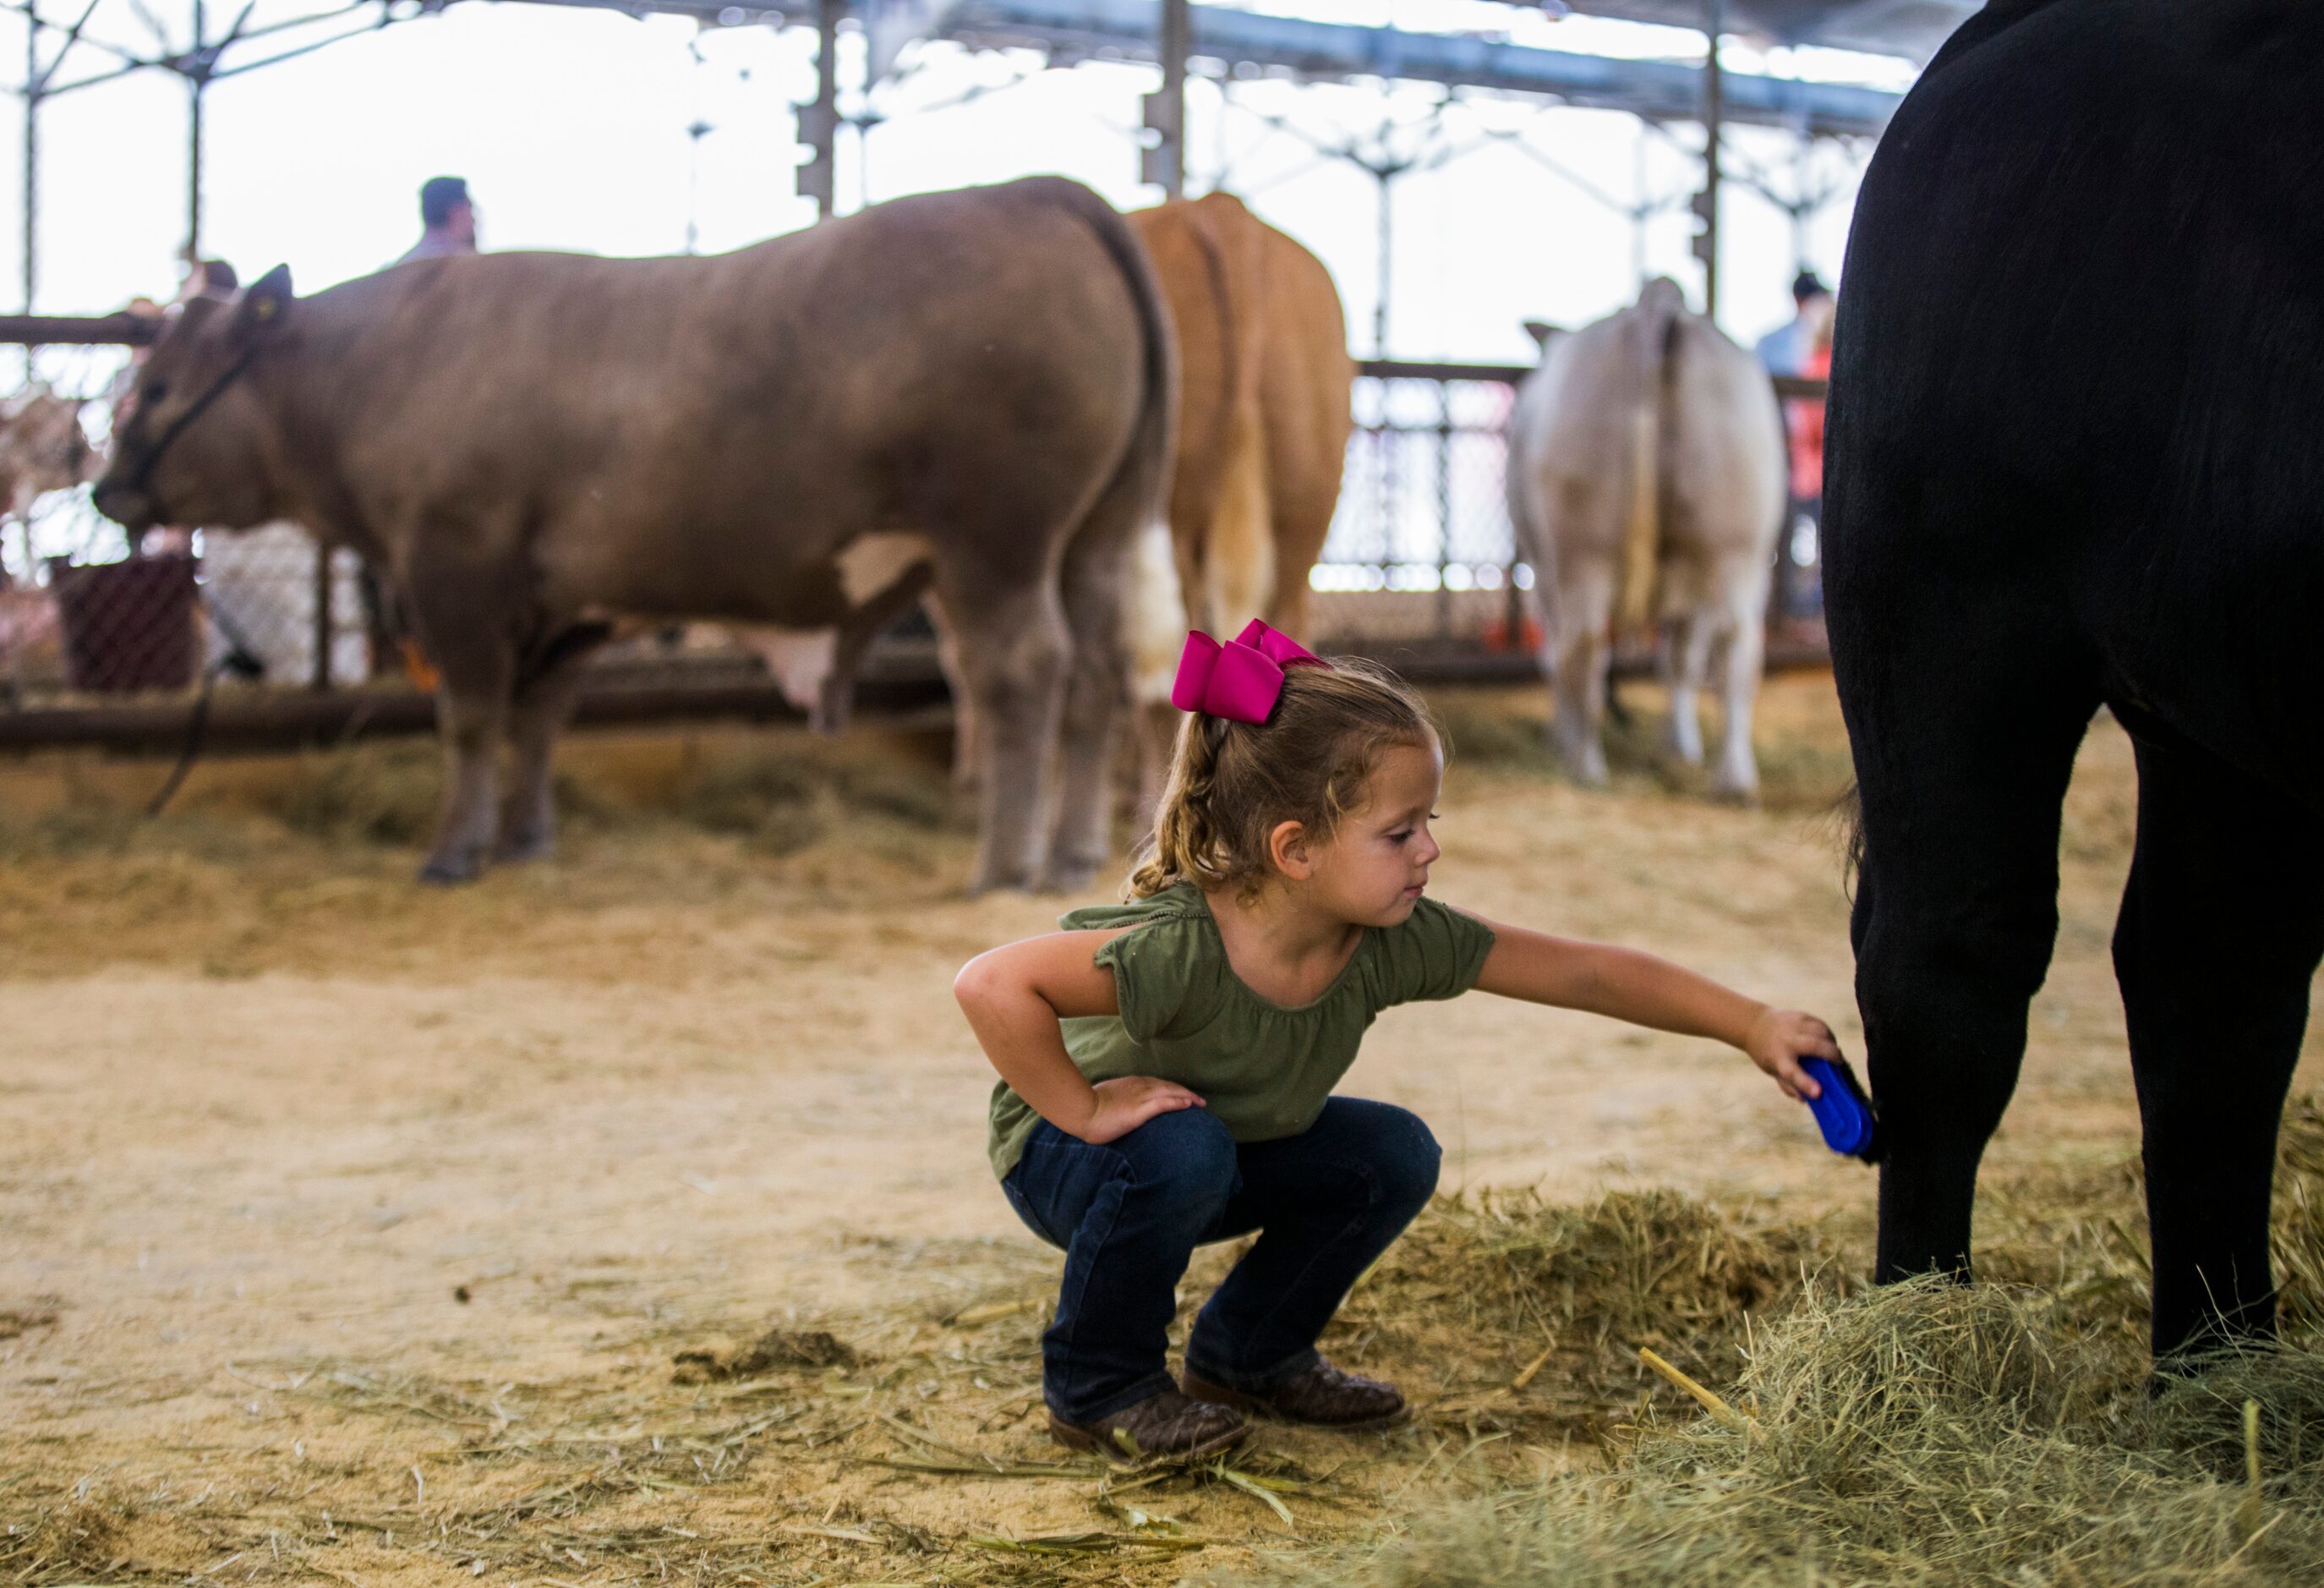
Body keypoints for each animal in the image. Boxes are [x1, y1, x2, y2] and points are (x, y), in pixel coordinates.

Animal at [97, 183, 1171, 892]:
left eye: (156, 387)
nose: (109, 492)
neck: (385, 363)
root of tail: (1032, 195)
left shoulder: (454, 568)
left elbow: (473, 718)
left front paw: (452, 852)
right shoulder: (567, 598)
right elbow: (538, 717)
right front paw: (525, 840)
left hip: (995, 541)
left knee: (1024, 672)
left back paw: (1005, 864)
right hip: (1096, 539)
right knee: (1097, 677)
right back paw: (1074, 855)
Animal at [1496, 281, 1785, 799]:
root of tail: (1657, 305)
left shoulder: (1541, 572)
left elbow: (1552, 653)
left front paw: (1560, 732)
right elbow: (1680, 660)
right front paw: (1681, 745)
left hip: (1579, 551)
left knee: (1582, 647)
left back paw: (1584, 763)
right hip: (1735, 546)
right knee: (1736, 648)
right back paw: (1734, 778)